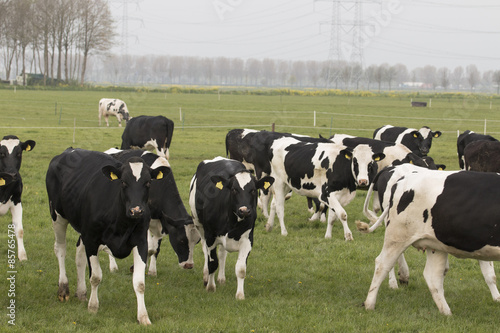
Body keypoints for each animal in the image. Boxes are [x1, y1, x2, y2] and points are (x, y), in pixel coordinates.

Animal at [45, 148, 166, 324]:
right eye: (123, 182)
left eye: (148, 183)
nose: (136, 211)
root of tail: (70, 150)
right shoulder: (92, 239)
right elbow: (95, 276)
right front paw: (93, 307)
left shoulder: (141, 242)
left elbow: (139, 283)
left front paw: (143, 317)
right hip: (57, 215)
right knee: (60, 249)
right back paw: (63, 288)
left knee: (79, 253)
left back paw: (81, 292)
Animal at [188, 157, 274, 300]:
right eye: (233, 189)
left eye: (253, 190)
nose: (244, 210)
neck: (233, 222)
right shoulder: (210, 236)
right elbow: (212, 263)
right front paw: (210, 287)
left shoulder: (247, 240)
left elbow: (241, 269)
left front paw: (240, 295)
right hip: (199, 225)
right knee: (205, 251)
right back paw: (206, 277)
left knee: (222, 253)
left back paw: (221, 279)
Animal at [362, 166, 500, 314]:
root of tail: (402, 176)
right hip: (397, 235)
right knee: (383, 264)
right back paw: (370, 303)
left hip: (435, 245)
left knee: (432, 277)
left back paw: (446, 313)